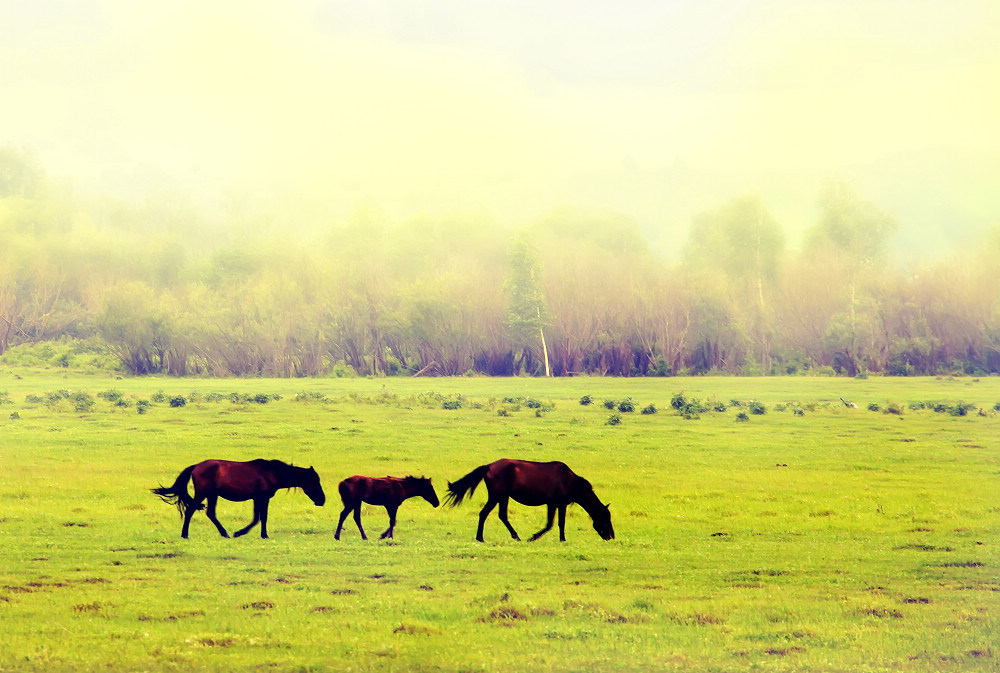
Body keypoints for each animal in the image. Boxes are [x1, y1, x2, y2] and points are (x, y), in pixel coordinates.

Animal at [152, 460, 324, 540]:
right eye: (315, 481)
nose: (322, 500)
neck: (271, 473)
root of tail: (196, 466)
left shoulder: (258, 499)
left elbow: (258, 518)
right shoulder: (262, 498)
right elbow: (260, 518)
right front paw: (248, 533)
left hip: (212, 495)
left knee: (211, 514)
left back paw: (224, 533)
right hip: (202, 493)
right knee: (190, 510)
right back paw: (185, 534)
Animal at [444, 460, 612, 544]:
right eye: (605, 518)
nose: (611, 536)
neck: (569, 480)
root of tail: (488, 466)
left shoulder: (556, 504)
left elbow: (555, 523)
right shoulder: (556, 503)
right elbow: (554, 523)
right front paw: (536, 537)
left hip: (503, 497)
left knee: (502, 515)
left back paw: (515, 536)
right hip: (496, 496)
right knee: (484, 513)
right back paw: (480, 538)